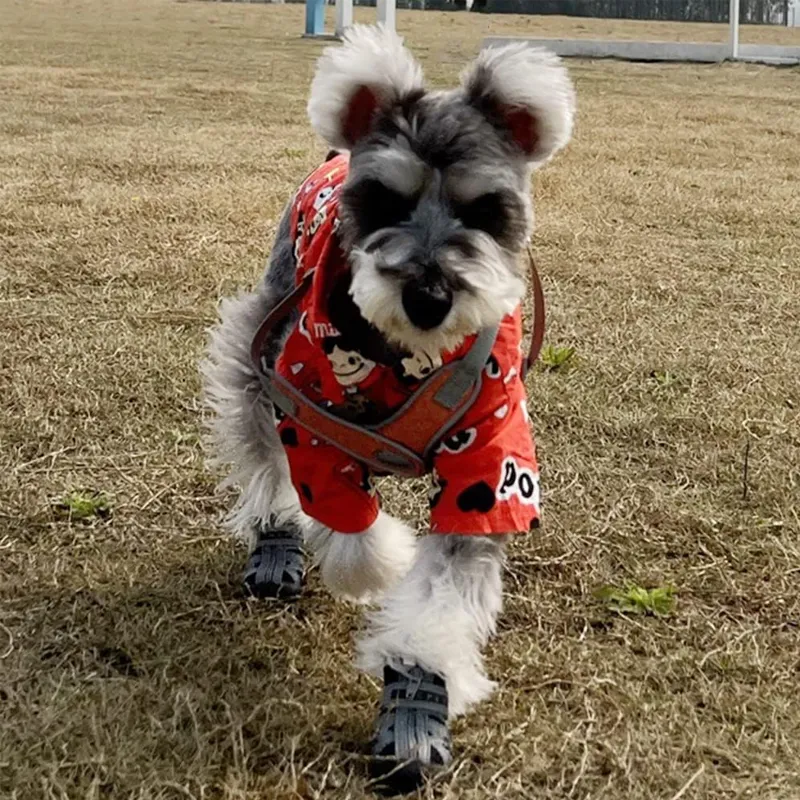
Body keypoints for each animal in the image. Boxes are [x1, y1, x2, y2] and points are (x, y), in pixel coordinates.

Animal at [203, 25, 572, 792]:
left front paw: (418, 684)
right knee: (263, 460)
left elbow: (443, 594)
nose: (430, 298)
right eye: (384, 200)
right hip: (258, 352)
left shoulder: (489, 470)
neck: (408, 355)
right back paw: (276, 539)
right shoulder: (309, 418)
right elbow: (346, 522)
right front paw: (380, 564)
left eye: (484, 211)